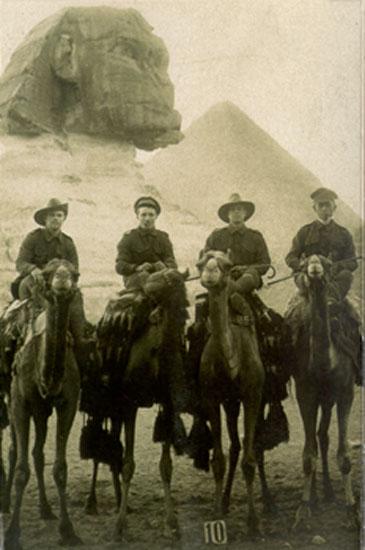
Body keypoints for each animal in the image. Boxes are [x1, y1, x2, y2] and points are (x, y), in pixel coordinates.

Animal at [4, 260, 82, 550]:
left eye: (74, 272)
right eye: (48, 273)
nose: (62, 279)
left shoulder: (67, 403)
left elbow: (59, 468)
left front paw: (68, 530)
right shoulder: (19, 402)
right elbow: (21, 468)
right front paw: (12, 534)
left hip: (41, 411)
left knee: (38, 453)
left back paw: (46, 509)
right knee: (14, 449)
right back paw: (5, 503)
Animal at [282, 254, 356, 532]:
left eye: (326, 262)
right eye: (303, 263)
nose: (314, 267)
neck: (326, 364)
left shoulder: (345, 392)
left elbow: (344, 456)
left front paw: (352, 512)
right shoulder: (306, 392)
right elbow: (307, 455)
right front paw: (303, 511)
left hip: (330, 398)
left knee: (322, 435)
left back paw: (327, 492)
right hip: (322, 399)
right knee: (316, 437)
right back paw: (315, 495)